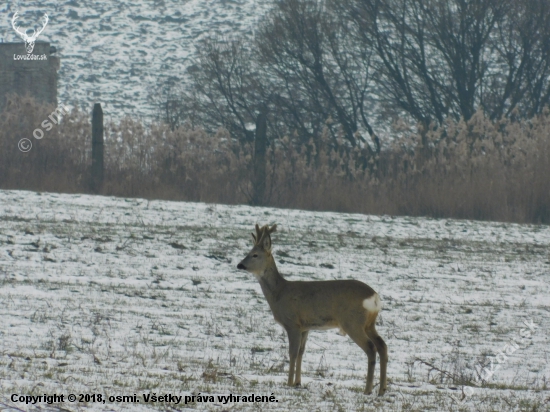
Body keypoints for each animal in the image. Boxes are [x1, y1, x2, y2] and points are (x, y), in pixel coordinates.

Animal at [237, 225, 388, 396]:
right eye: (249, 251)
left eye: (255, 255)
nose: (240, 265)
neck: (279, 293)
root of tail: (374, 297)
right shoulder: (306, 327)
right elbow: (301, 352)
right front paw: (297, 382)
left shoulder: (292, 323)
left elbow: (292, 352)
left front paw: (288, 383)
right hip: (369, 323)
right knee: (382, 345)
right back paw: (382, 389)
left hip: (352, 322)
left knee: (371, 348)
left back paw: (368, 389)